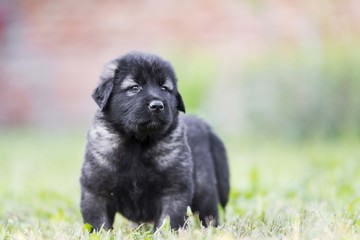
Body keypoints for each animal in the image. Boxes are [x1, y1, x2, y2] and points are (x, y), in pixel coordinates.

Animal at [80, 52, 229, 231]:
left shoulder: (174, 190)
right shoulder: (96, 192)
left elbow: (169, 220)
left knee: (209, 216)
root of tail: (201, 124)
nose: (157, 105)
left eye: (164, 88)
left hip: (204, 192)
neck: (137, 142)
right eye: (134, 87)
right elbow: (99, 223)